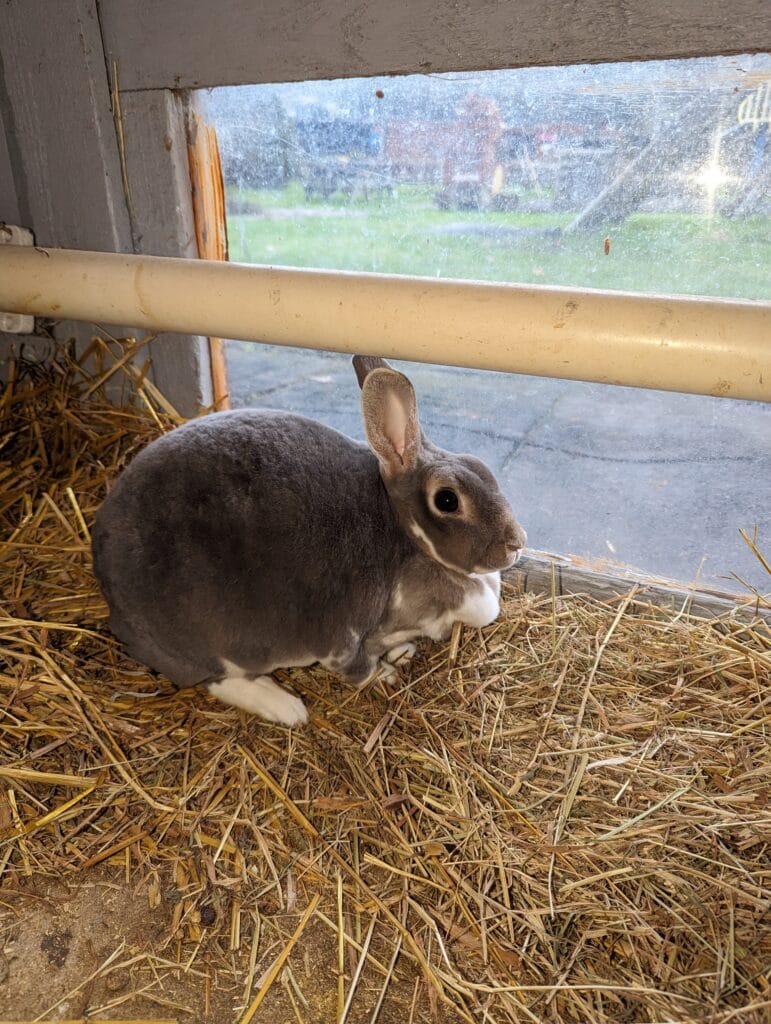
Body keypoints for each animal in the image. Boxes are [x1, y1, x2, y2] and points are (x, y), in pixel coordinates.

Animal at [91, 355, 527, 726]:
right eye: (447, 500)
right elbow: (358, 669)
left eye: (481, 467)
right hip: (211, 642)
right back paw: (287, 707)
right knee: (219, 679)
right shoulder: (346, 641)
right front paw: (386, 674)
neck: (405, 536)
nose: (517, 542)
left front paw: (402, 653)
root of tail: (111, 597)